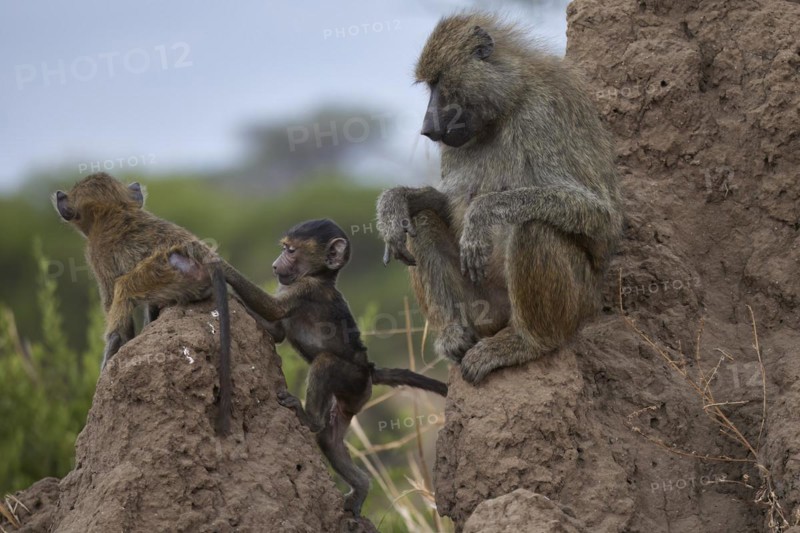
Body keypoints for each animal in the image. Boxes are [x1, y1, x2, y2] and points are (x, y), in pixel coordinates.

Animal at [53, 172, 285, 435]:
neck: (114, 211)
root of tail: (196, 251)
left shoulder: (97, 257)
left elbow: (119, 320)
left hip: (159, 270)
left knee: (124, 289)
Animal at [264, 219, 447, 517]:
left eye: (290, 250)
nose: (275, 266)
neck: (321, 277)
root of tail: (369, 370)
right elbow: (275, 330)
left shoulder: (306, 289)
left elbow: (273, 309)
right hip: (352, 399)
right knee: (330, 441)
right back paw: (361, 488)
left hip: (352, 379)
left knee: (325, 364)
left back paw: (309, 419)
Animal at [376, 12, 623, 385]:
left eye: (438, 82)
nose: (427, 130)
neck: (506, 105)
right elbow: (444, 205)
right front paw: (394, 202)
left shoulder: (544, 113)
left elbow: (602, 215)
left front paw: (483, 214)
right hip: (485, 311)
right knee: (421, 221)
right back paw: (454, 335)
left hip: (580, 303)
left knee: (532, 225)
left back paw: (528, 342)